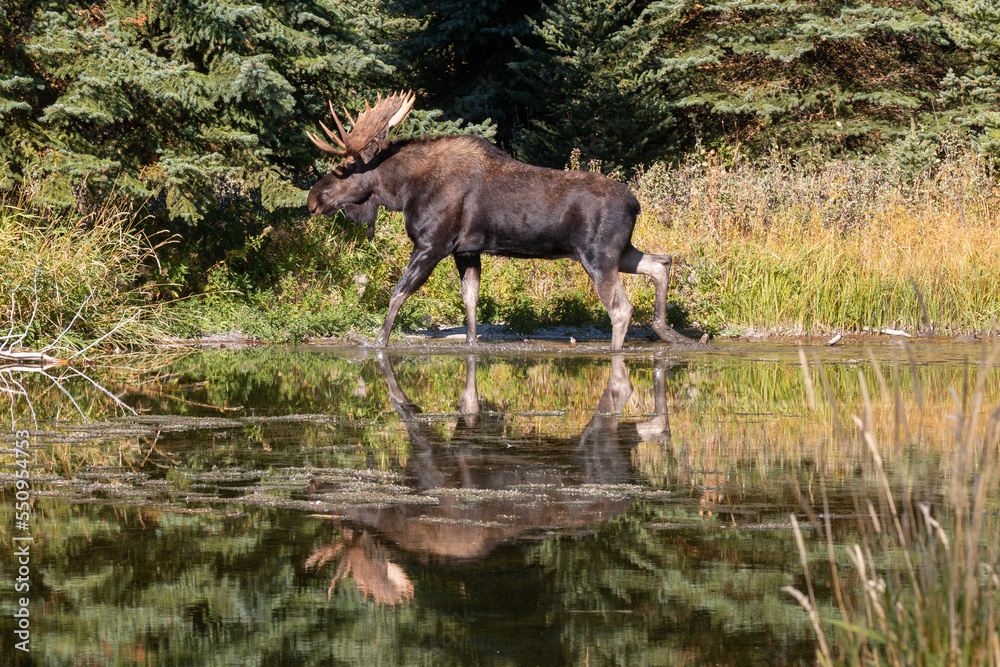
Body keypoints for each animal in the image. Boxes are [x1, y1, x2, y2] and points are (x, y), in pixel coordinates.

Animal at [306, 91, 689, 350]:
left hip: (598, 255)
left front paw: (378, 342)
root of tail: (636, 204)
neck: (403, 191)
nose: (312, 200)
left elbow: (398, 294)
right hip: (619, 250)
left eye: (344, 169)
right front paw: (471, 344)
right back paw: (666, 331)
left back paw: (616, 351)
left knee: (621, 307)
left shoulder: (432, 244)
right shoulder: (466, 250)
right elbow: (470, 301)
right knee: (660, 262)